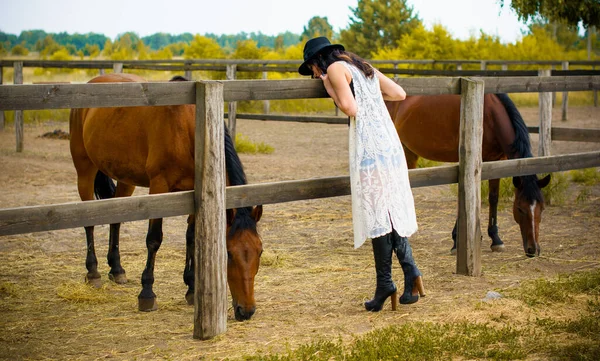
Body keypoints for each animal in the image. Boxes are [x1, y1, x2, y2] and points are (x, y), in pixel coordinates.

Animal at [70, 71, 262, 320]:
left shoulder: (195, 191)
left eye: (260, 251)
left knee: (116, 219)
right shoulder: (159, 186)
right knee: (89, 221)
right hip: (85, 169)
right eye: (228, 253)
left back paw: (117, 268)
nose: (246, 310)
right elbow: (154, 239)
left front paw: (191, 287)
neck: (190, 128)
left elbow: (192, 237)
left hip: (126, 178)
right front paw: (147, 292)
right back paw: (93, 272)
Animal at [386, 93, 552, 256]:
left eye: (542, 208)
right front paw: (456, 241)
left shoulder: (496, 161)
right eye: (519, 208)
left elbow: (493, 198)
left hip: (408, 152)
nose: (533, 249)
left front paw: (496, 239)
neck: (489, 115)